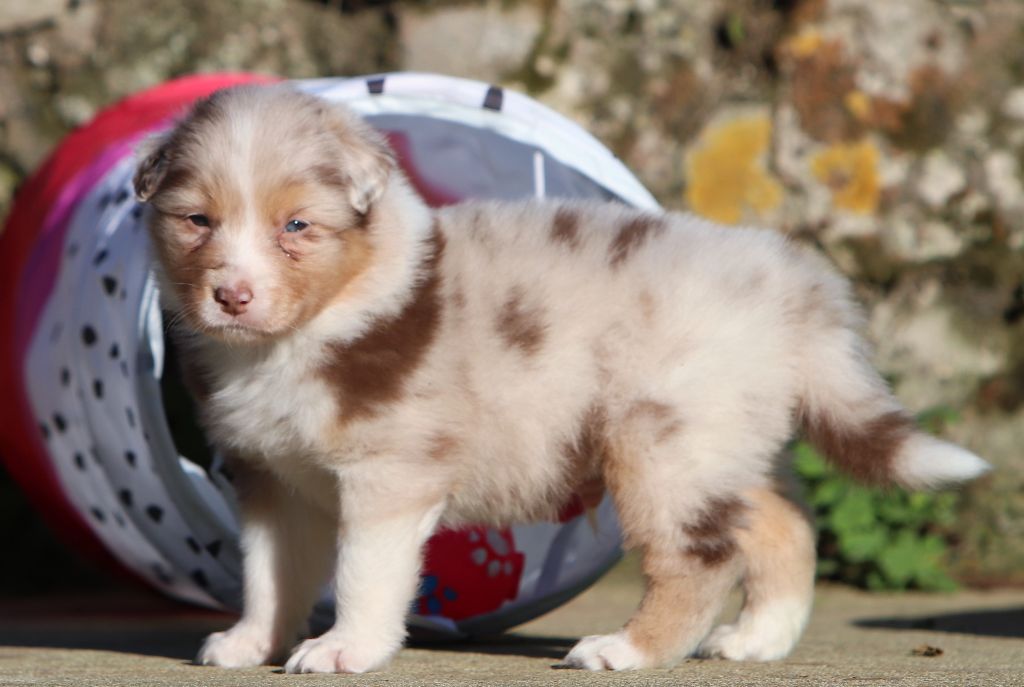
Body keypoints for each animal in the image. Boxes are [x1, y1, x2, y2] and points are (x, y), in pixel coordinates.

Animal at [133, 84, 989, 673]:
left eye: (297, 226)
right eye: (197, 220)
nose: (232, 296)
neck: (305, 331)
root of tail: (792, 281)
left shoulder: (387, 472)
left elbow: (361, 572)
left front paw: (344, 650)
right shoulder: (271, 477)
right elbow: (268, 573)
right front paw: (249, 642)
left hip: (660, 445)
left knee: (700, 556)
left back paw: (628, 649)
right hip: (726, 437)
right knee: (783, 523)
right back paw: (755, 638)